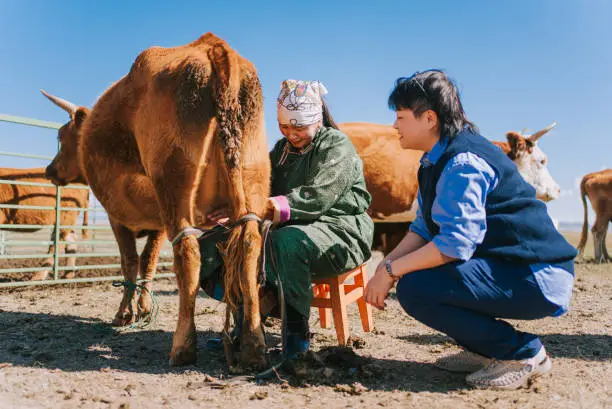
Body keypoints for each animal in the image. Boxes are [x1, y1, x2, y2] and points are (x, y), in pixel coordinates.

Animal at [43, 33, 270, 368]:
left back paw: (183, 346)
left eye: (61, 137)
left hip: (173, 186)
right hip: (251, 177)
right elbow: (148, 262)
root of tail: (212, 47)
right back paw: (253, 347)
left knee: (188, 253)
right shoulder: (158, 223)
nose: (49, 170)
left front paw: (126, 313)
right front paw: (144, 308)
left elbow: (130, 262)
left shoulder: (118, 216)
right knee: (250, 247)